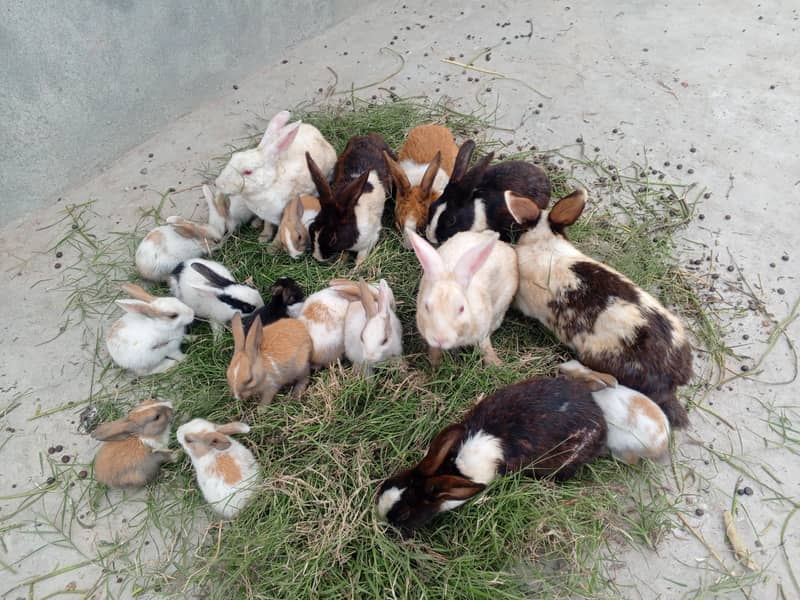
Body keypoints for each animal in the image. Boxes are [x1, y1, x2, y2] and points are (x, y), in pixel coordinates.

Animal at [215, 110, 336, 243]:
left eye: (248, 172)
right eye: (233, 156)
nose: (217, 183)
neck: (270, 184)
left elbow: (280, 230)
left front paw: (271, 243)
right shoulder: (267, 215)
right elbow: (267, 224)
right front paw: (263, 237)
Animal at [306, 133, 395, 267]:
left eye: (333, 240)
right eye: (312, 227)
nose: (317, 257)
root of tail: (367, 136)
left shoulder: (371, 239)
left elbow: (361, 256)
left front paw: (356, 267)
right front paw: (341, 260)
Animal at [408, 229, 518, 368]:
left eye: (461, 308)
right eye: (426, 306)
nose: (440, 339)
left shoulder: (483, 330)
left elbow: (485, 345)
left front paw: (495, 363)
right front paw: (434, 363)